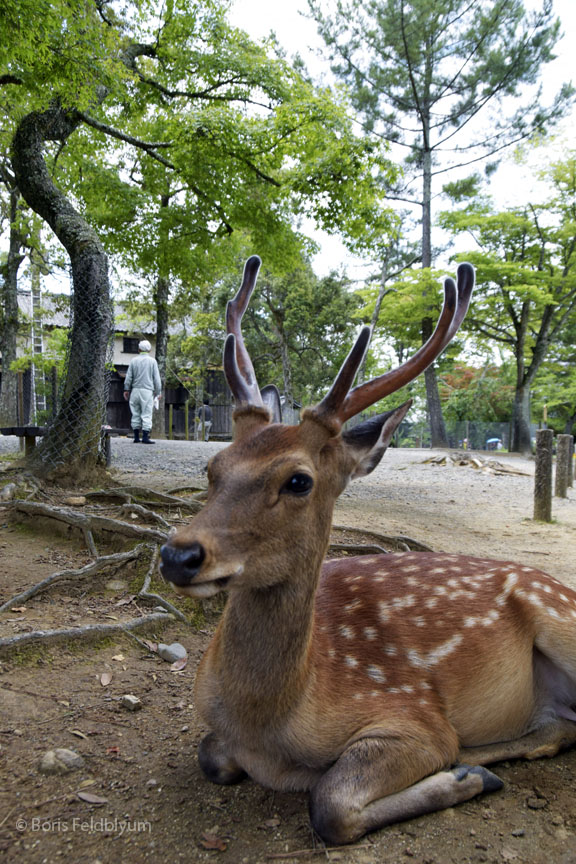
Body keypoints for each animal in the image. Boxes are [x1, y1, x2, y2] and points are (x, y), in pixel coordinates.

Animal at [160, 255, 576, 844]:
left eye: (299, 481)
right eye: (211, 467)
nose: (179, 556)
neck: (271, 725)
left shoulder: (413, 716)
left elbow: (330, 802)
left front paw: (459, 776)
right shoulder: (216, 732)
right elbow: (210, 757)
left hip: (560, 616)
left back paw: (473, 766)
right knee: (558, 727)